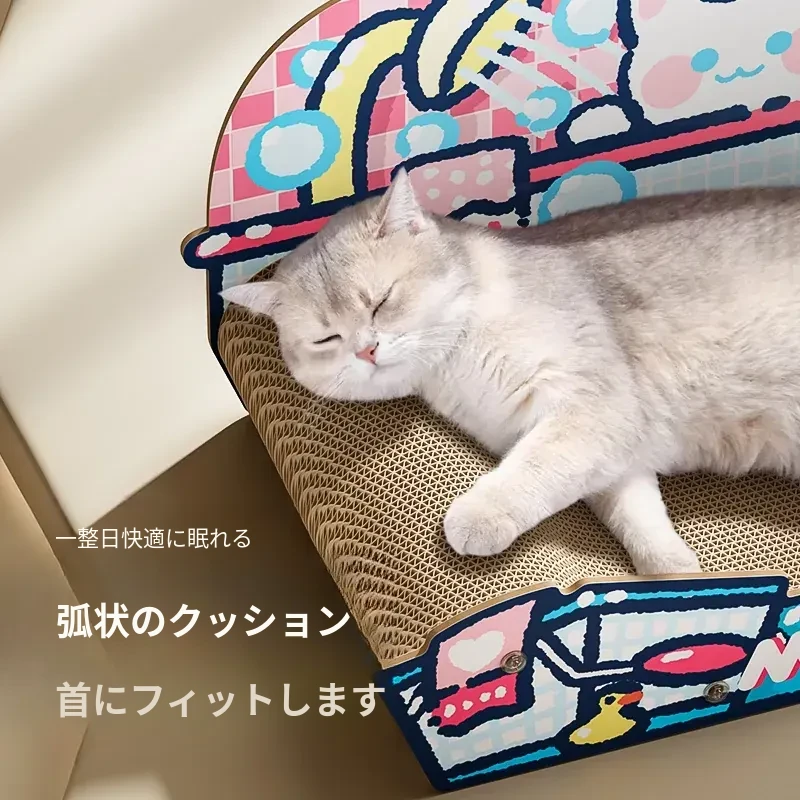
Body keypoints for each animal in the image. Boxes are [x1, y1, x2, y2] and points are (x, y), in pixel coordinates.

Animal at [221, 168, 800, 575]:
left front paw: (476, 519)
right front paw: (676, 574)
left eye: (381, 301)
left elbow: (534, 470)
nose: (366, 351)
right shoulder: (615, 455)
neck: (455, 359)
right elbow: (635, 517)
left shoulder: (593, 407)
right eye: (326, 339)